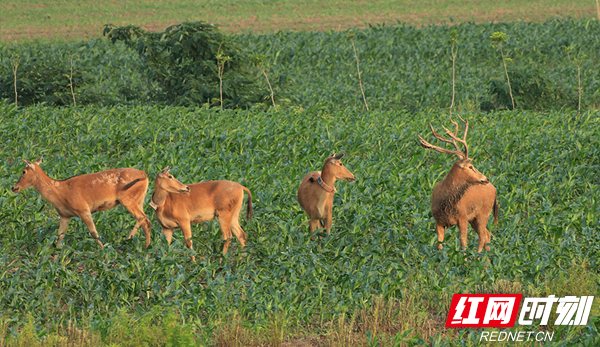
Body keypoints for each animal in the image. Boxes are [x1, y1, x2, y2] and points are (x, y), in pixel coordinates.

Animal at [12, 158, 152, 250]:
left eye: (23, 171)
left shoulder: (83, 209)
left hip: (127, 198)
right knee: (147, 220)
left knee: (142, 217)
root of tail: (144, 175)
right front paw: (56, 255)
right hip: (139, 199)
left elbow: (94, 232)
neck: (60, 193)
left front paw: (103, 250)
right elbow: (60, 235)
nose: (14, 187)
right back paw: (146, 247)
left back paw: (127, 239)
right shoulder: (65, 215)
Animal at [418, 117, 496, 253]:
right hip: (475, 219)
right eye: (471, 167)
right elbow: (439, 245)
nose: (486, 178)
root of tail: (495, 189)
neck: (445, 202)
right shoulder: (438, 220)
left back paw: (478, 256)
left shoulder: (462, 217)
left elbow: (463, 244)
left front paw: (462, 258)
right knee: (486, 234)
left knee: (482, 236)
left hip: (484, 213)